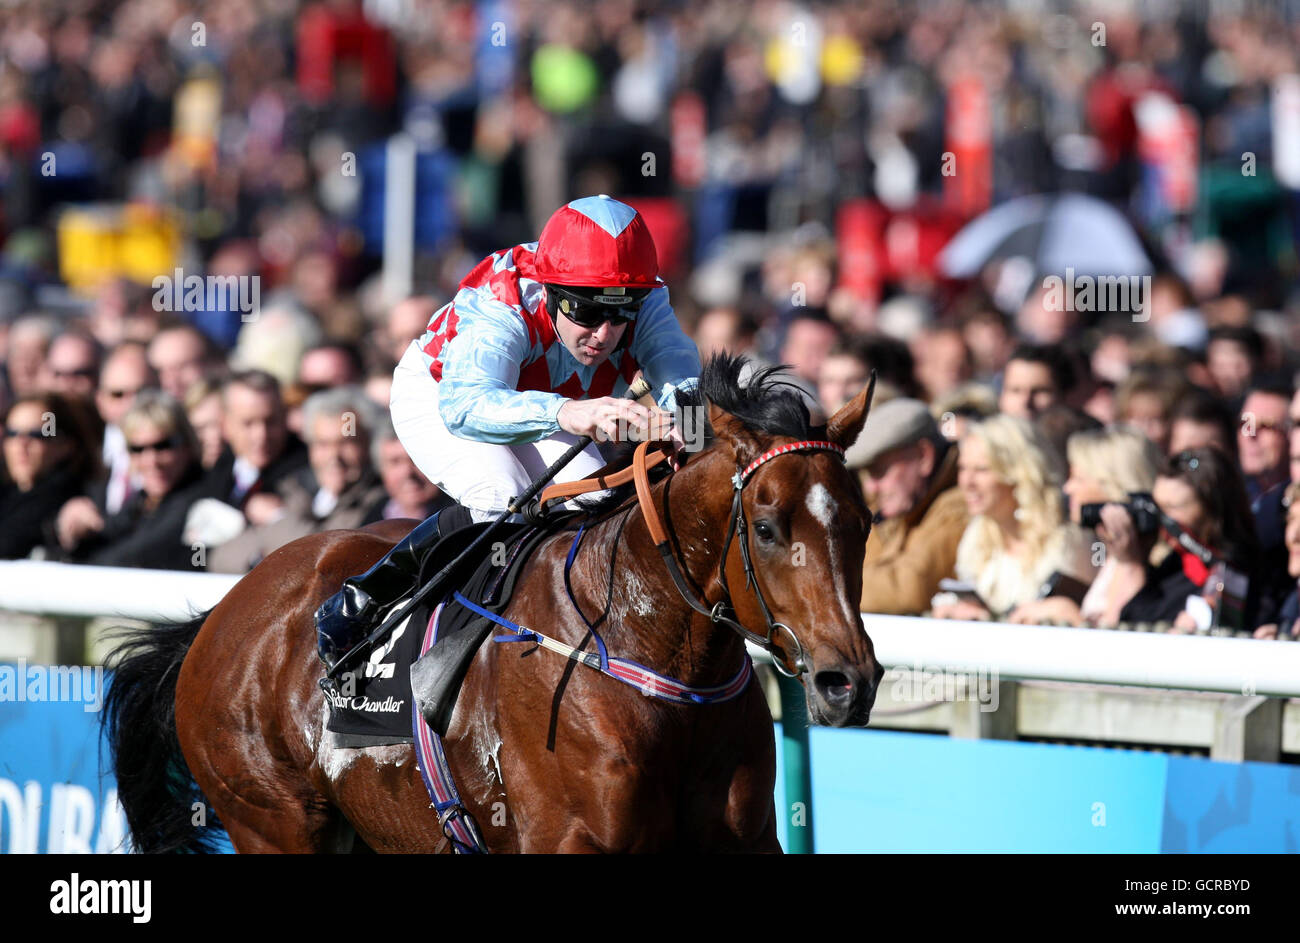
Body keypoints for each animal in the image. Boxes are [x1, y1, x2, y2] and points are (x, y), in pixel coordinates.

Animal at [104, 353, 883, 853]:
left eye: (865, 519)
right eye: (767, 526)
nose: (849, 681)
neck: (650, 649)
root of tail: (217, 619)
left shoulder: (743, 839)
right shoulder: (572, 840)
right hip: (271, 821)